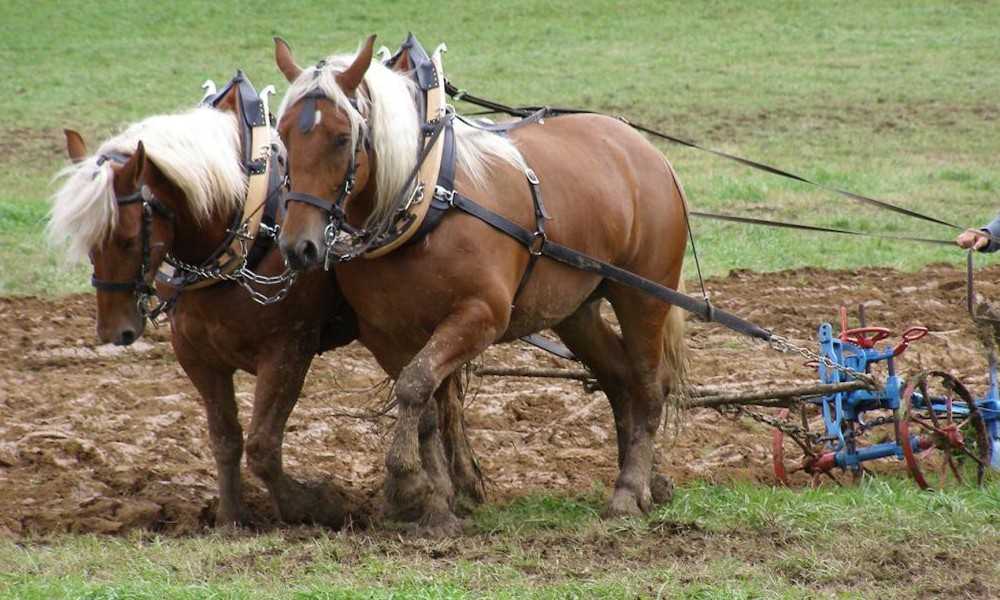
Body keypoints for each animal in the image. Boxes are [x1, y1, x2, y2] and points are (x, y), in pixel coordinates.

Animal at [48, 77, 482, 529]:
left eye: (129, 237)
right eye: (88, 241)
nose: (113, 330)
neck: (244, 227)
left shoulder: (287, 351)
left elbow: (262, 445)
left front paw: (313, 504)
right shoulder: (195, 356)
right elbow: (225, 439)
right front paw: (231, 517)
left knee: (444, 400)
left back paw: (460, 485)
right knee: (442, 396)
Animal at [272, 35, 690, 535]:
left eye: (340, 138)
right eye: (282, 135)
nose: (299, 247)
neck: (428, 200)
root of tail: (649, 152)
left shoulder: (480, 316)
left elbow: (415, 386)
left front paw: (407, 485)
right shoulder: (385, 332)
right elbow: (426, 406)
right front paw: (435, 505)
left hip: (644, 295)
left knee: (649, 386)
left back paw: (628, 492)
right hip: (576, 310)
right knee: (619, 378)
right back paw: (645, 482)